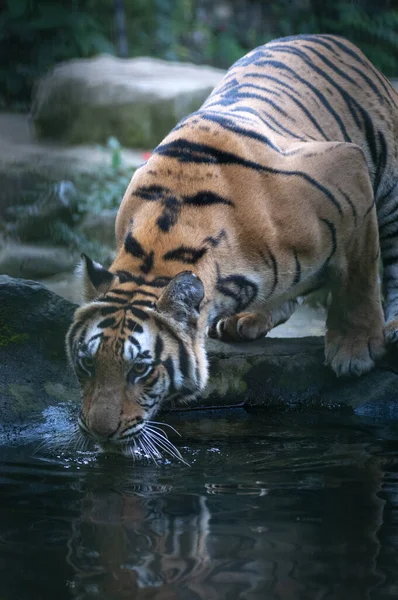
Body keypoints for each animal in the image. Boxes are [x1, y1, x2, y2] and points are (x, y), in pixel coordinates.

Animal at [67, 34, 398, 454]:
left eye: (140, 369)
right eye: (87, 363)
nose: (99, 432)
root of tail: (329, 38)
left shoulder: (346, 167)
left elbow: (358, 272)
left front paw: (356, 349)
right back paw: (246, 320)